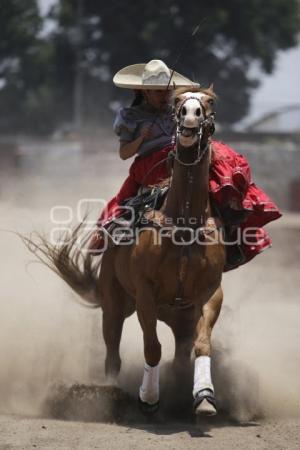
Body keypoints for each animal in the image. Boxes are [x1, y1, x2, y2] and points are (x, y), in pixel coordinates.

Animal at [25, 86, 225, 416]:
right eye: (177, 102)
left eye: (209, 101)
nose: (190, 115)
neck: (184, 226)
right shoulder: (145, 295)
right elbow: (152, 348)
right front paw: (149, 397)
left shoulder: (209, 294)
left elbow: (203, 344)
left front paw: (205, 397)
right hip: (114, 306)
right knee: (113, 356)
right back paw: (110, 395)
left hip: (179, 318)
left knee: (180, 357)